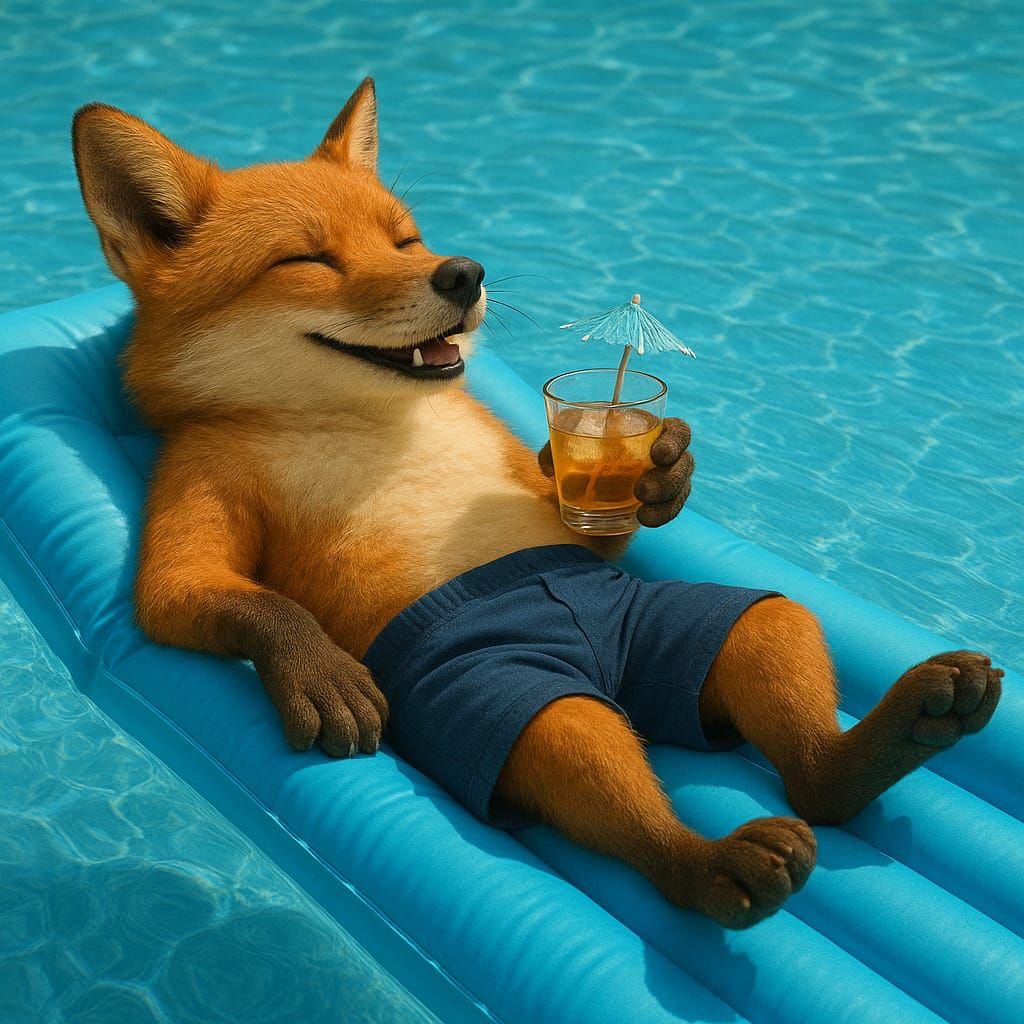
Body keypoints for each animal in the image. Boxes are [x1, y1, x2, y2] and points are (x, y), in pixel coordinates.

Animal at [72, 78, 1003, 929]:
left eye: (405, 238)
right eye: (307, 260)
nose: (463, 272)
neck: (371, 421)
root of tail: (605, 665)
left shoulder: (541, 487)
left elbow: (585, 508)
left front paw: (662, 472)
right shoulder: (203, 477)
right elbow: (212, 594)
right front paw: (316, 664)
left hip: (699, 624)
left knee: (783, 683)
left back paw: (886, 738)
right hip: (514, 695)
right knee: (604, 770)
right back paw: (713, 862)